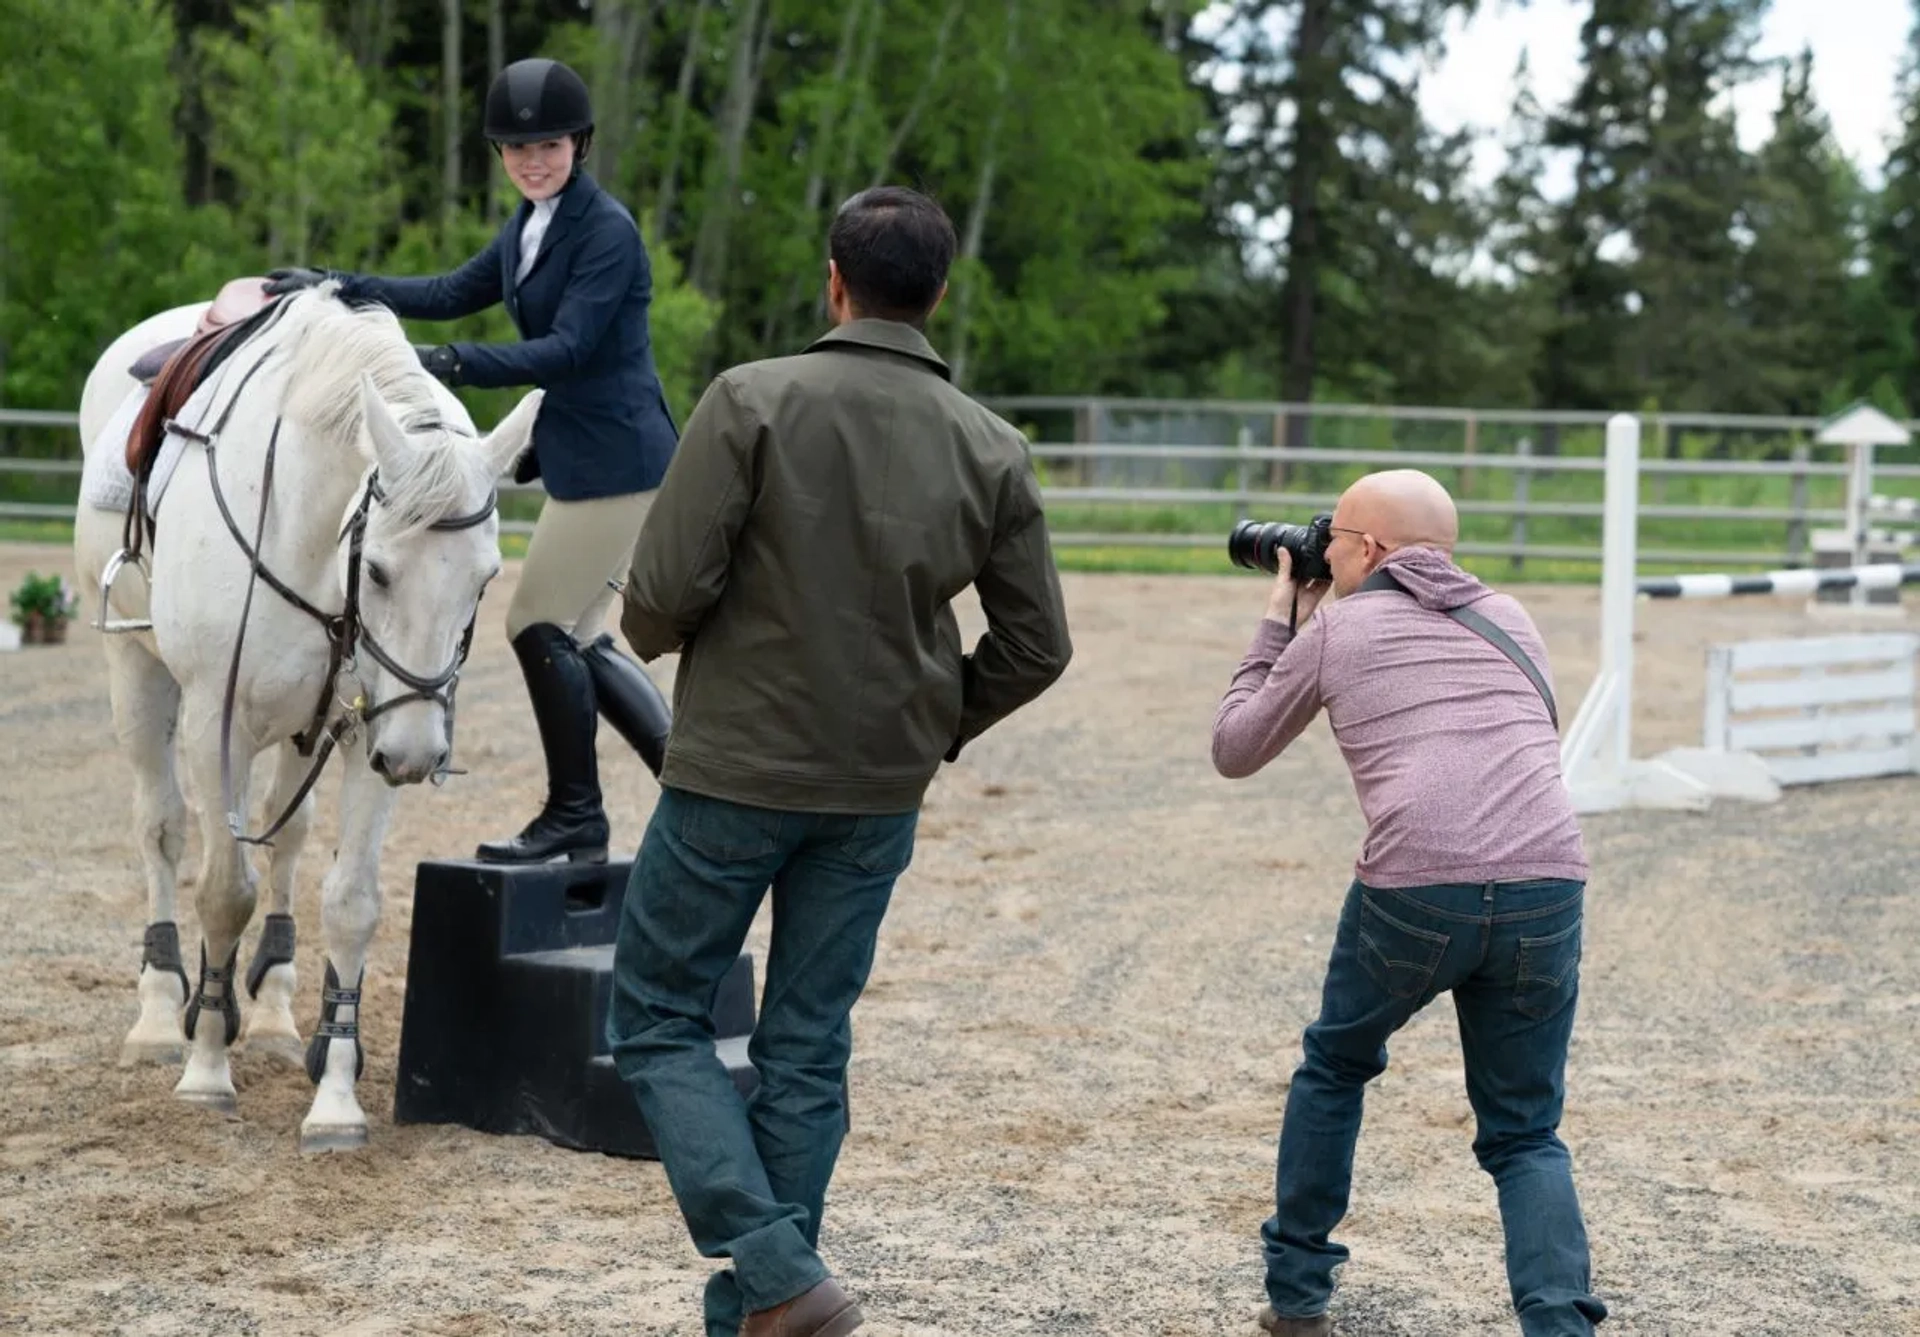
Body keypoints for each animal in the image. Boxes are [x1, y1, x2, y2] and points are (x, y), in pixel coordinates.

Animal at [74, 288, 541, 1152]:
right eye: (380, 569)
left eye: (486, 578)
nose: (421, 756)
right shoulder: (215, 724)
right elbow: (225, 891)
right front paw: (206, 1068)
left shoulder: (369, 731)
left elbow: (350, 903)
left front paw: (335, 1099)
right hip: (138, 675)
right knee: (162, 830)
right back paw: (161, 1018)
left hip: (309, 729)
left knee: (287, 836)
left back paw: (272, 1019)